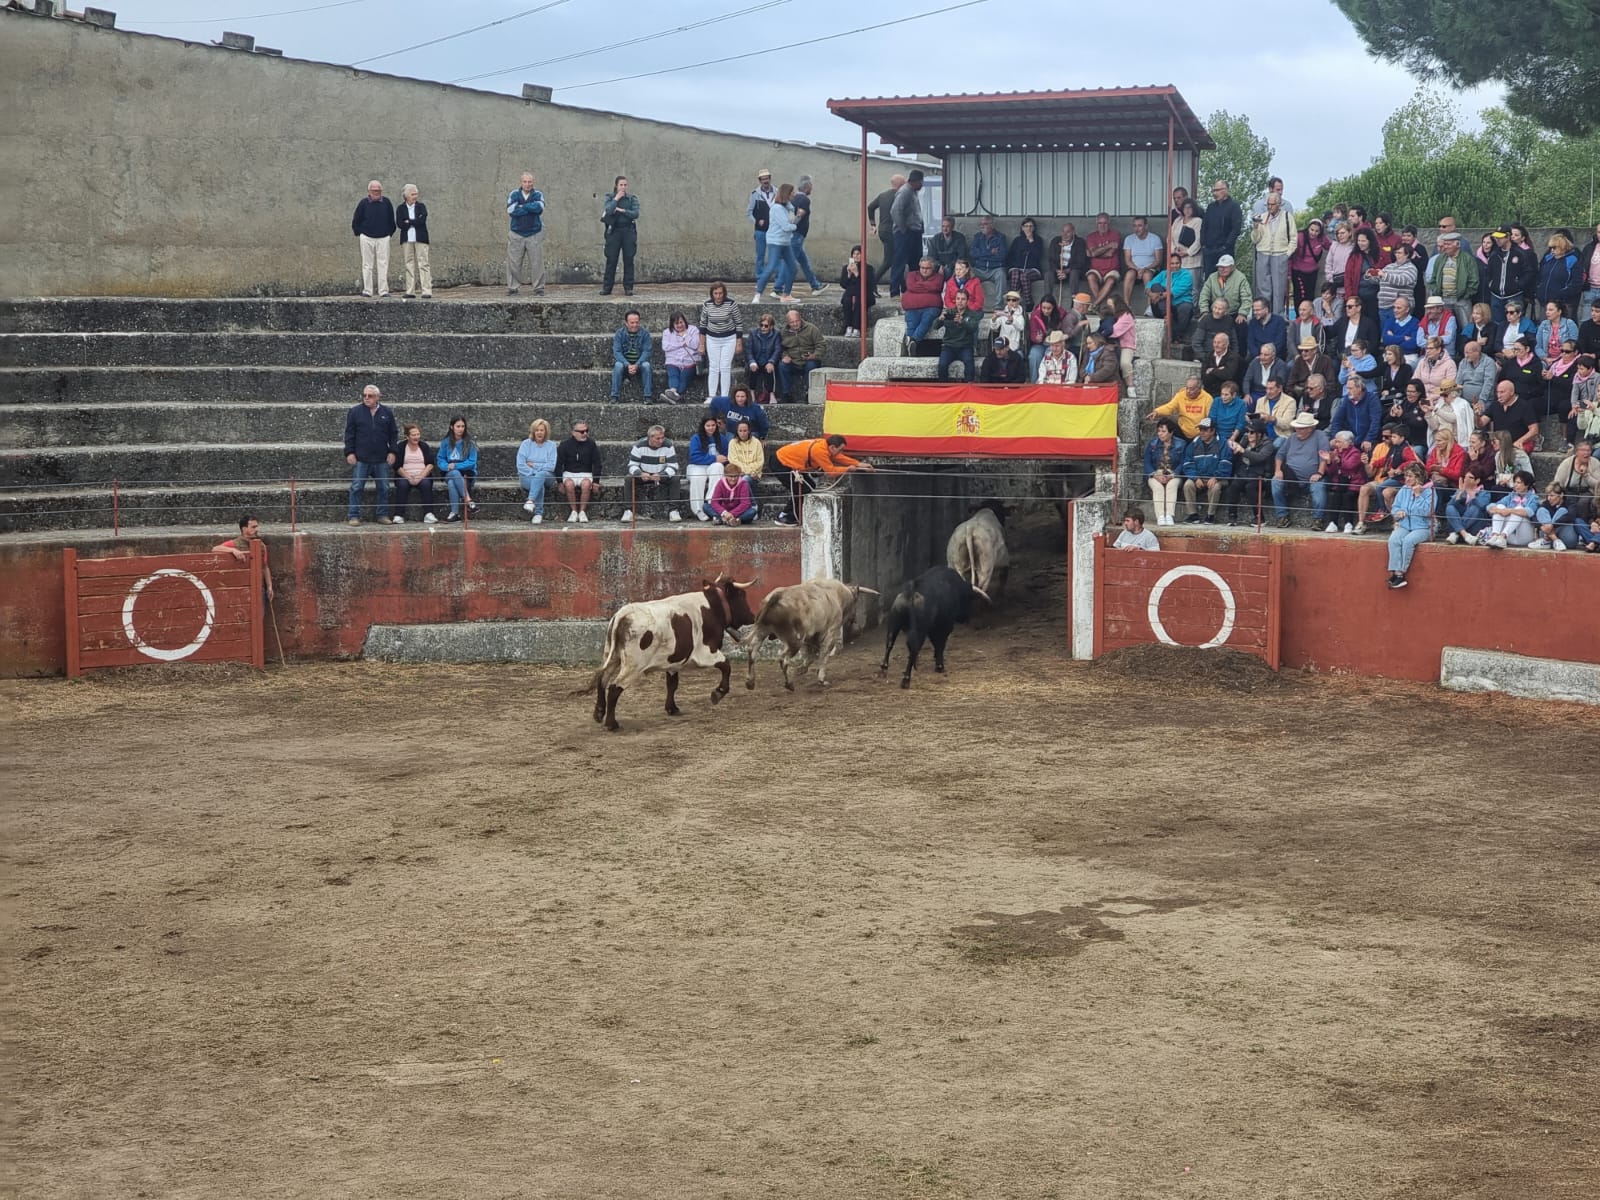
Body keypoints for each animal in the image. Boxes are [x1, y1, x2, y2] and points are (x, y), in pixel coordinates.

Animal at [592, 576, 758, 732]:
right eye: (741, 594)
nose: (753, 616)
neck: (712, 608)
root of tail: (624, 614)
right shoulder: (707, 653)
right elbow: (726, 666)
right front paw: (718, 692)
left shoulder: (673, 662)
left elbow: (672, 684)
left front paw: (672, 708)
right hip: (633, 666)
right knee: (614, 688)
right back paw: (611, 723)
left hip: (612, 656)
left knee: (602, 679)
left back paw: (599, 712)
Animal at [742, 579, 883, 691]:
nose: (855, 621)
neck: (837, 594)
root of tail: (777, 596)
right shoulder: (831, 631)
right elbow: (824, 653)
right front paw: (821, 678)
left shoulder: (810, 637)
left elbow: (810, 656)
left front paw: (802, 669)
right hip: (794, 640)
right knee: (783, 658)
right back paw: (789, 684)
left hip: (762, 630)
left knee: (752, 650)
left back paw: (750, 682)